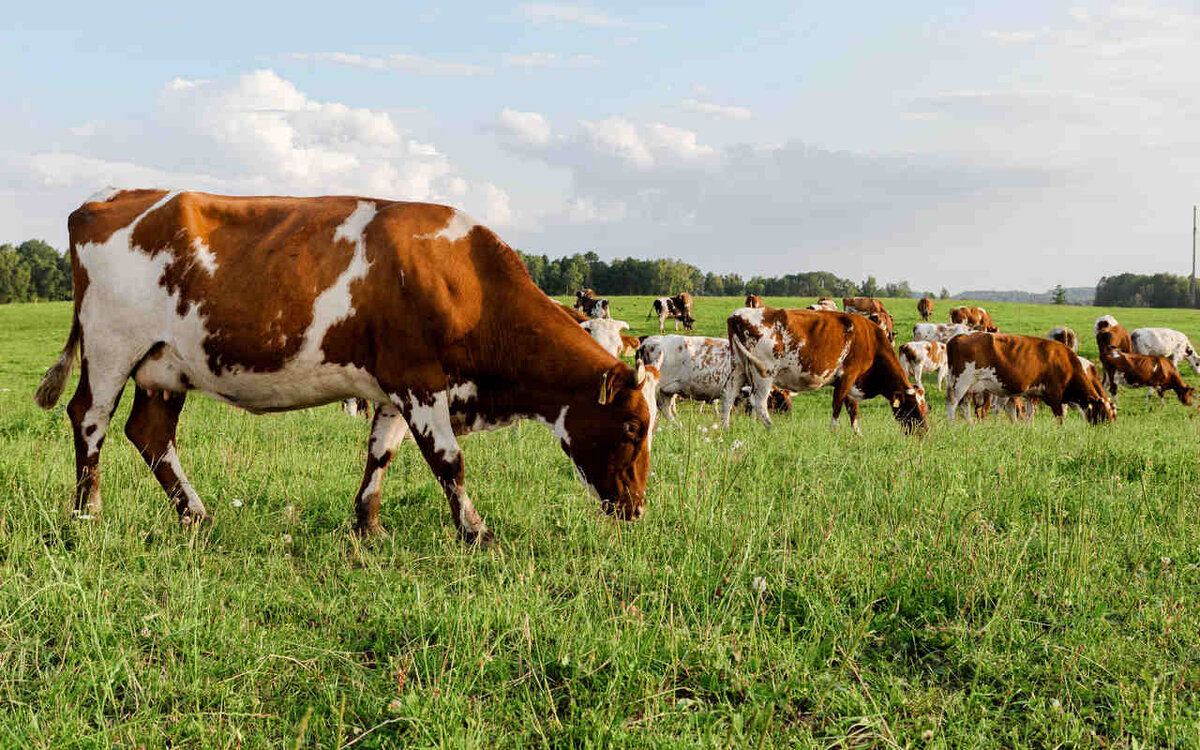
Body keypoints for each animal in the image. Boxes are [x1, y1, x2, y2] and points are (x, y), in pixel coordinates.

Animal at [32, 188, 662, 544]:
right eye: (633, 426)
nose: (636, 509)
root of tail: (108, 199)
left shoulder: (391, 387)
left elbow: (381, 453)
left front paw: (368, 526)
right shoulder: (418, 379)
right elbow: (448, 461)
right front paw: (475, 531)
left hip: (165, 366)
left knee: (150, 433)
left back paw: (196, 516)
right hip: (112, 347)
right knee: (90, 419)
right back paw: (87, 514)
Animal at [720, 304, 926, 432]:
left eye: (927, 408)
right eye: (914, 408)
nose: (925, 432)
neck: (871, 341)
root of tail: (737, 315)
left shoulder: (849, 382)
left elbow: (852, 409)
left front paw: (857, 435)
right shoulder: (847, 376)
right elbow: (837, 407)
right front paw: (833, 432)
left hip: (738, 368)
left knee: (728, 396)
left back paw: (725, 428)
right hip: (763, 373)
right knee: (759, 403)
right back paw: (772, 429)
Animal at [945, 331, 1113, 424]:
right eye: (1104, 413)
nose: (1108, 427)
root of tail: (959, 337)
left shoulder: (1033, 395)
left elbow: (1029, 415)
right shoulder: (1055, 395)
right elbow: (1060, 417)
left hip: (968, 387)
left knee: (964, 406)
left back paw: (971, 426)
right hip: (961, 382)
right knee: (952, 404)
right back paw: (952, 426)